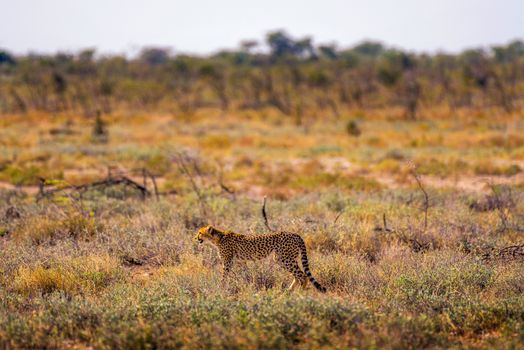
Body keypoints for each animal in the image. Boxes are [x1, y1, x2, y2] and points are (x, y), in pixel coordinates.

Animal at [193, 224, 324, 292]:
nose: (195, 238)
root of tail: (295, 234)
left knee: (302, 275)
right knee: (298, 275)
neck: (218, 238)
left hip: (284, 259)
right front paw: (247, 284)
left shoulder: (227, 262)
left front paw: (221, 287)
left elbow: (224, 276)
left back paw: (300, 292)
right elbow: (243, 274)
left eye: (200, 233)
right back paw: (289, 291)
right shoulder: (240, 262)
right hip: (283, 259)